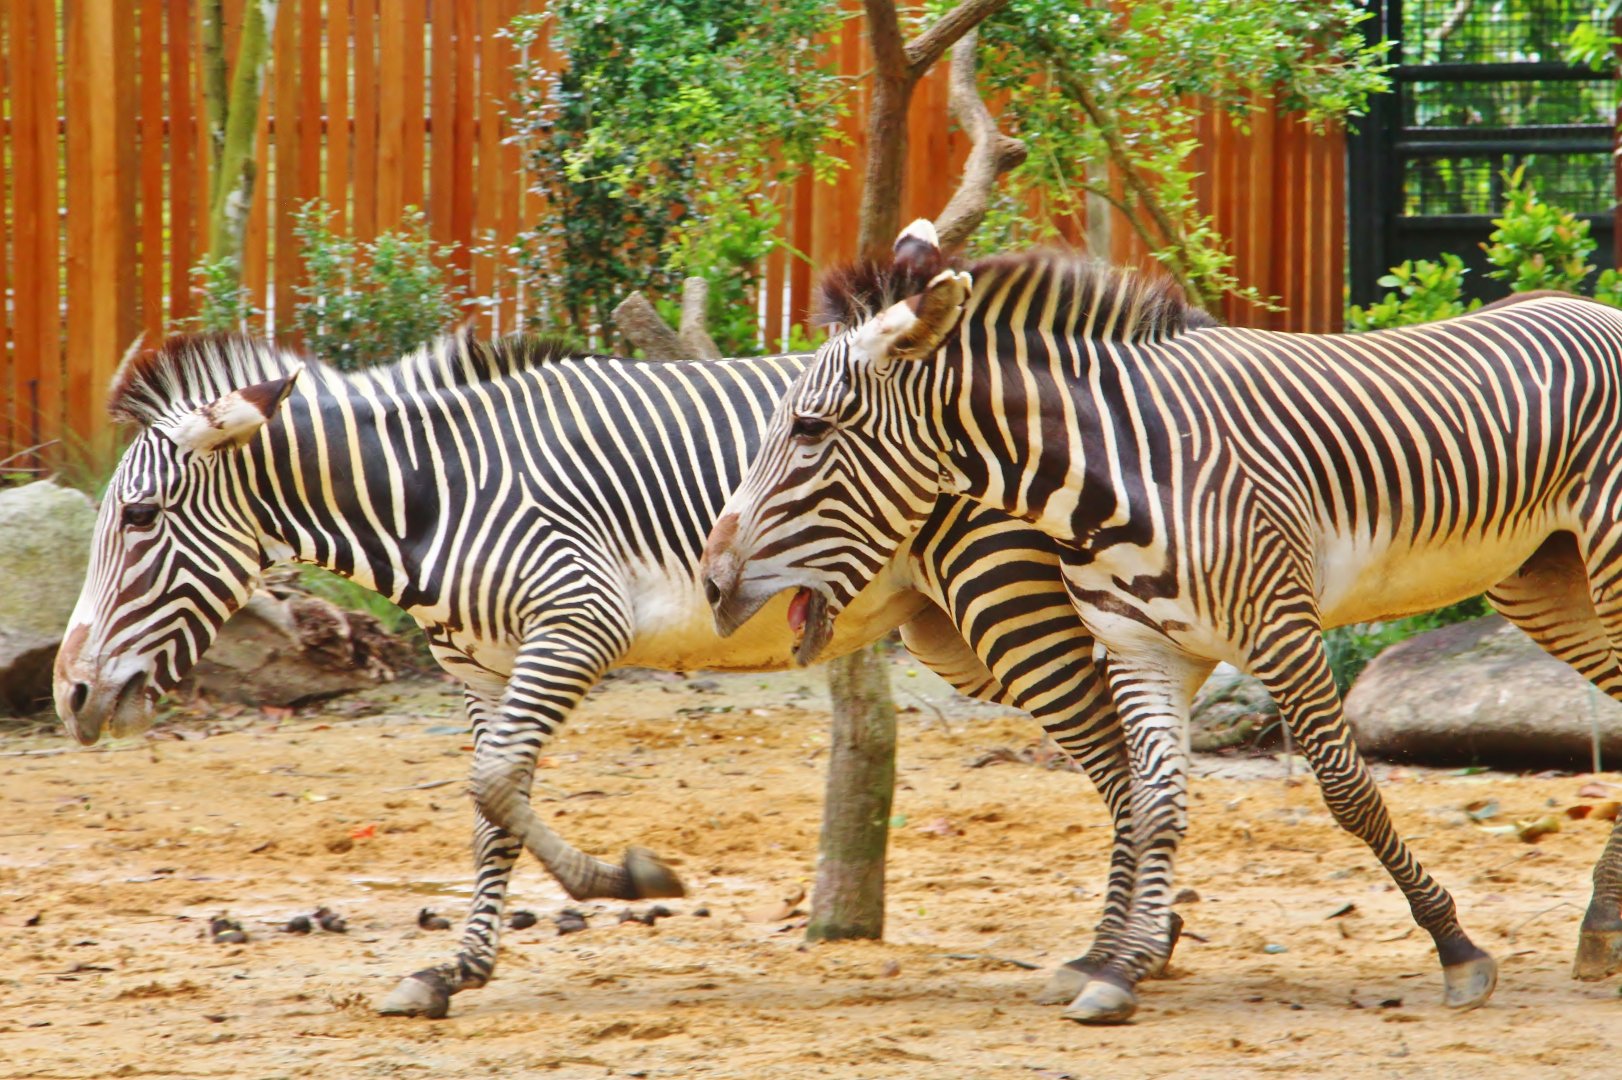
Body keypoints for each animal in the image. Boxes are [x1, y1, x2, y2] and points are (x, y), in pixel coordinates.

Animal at [54, 329, 1168, 1020]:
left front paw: (631, 879)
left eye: (139, 518)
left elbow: (494, 784)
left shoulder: (575, 622)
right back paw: (1132, 945)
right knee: (1121, 755)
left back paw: (1118, 958)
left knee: (1121, 766)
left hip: (1002, 597)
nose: (69, 696)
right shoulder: (477, 666)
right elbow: (489, 811)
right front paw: (454, 971)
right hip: (956, 632)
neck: (432, 492)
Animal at [704, 219, 1622, 1024]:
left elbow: (1347, 789)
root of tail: (1593, 306)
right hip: (1545, 582)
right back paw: (1602, 926)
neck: (1114, 475)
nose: (712, 584)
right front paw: (1118, 970)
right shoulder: (1138, 645)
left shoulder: (1282, 629)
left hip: (1604, 556)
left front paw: (1455, 948)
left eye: (809, 427)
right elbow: (1150, 801)